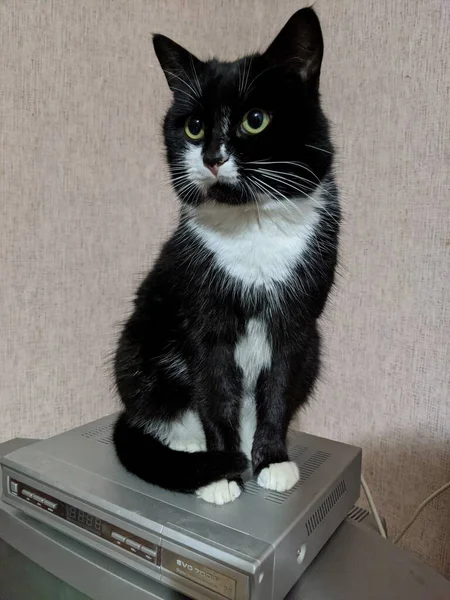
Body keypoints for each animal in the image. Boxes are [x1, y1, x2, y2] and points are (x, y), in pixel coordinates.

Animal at [111, 8, 338, 506]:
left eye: (255, 119)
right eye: (194, 126)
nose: (212, 157)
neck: (252, 225)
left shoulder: (296, 324)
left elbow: (277, 391)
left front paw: (271, 460)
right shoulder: (204, 322)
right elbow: (214, 395)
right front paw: (221, 472)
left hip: (315, 348)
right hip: (139, 345)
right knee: (160, 407)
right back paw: (188, 448)